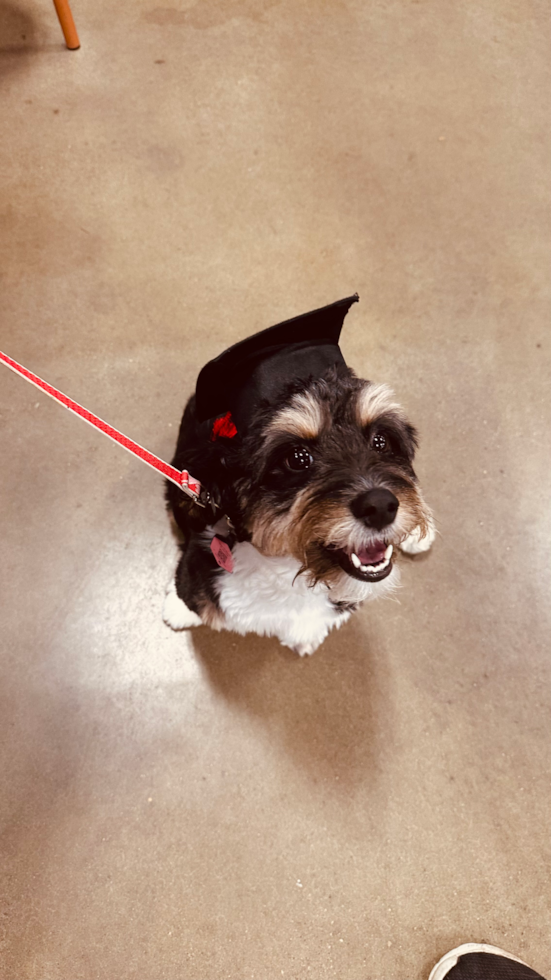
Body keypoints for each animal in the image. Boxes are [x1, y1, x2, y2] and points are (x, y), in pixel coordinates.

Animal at [164, 294, 436, 656]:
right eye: (297, 458)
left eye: (381, 440)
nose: (380, 506)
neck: (287, 567)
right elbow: (191, 591)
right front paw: (179, 608)